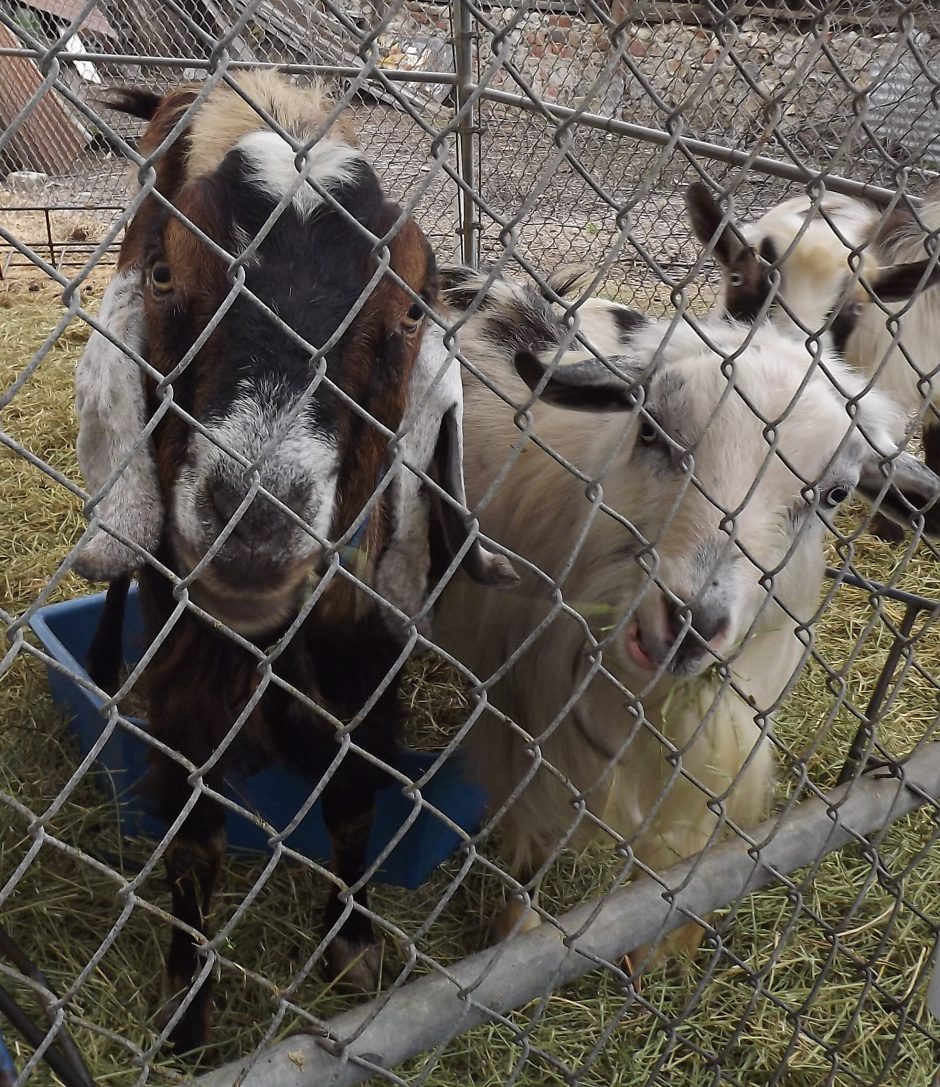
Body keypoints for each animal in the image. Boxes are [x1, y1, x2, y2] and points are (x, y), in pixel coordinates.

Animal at [72, 72, 516, 1053]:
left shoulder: (365, 652)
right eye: (165, 276)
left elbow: (352, 799)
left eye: (409, 313)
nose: (256, 515)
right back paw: (101, 661)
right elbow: (195, 839)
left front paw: (353, 945)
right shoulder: (188, 672)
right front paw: (188, 1010)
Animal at [432, 264, 940, 959]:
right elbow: (540, 840)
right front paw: (518, 932)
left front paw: (654, 947)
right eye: (650, 431)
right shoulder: (533, 722)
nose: (688, 626)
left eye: (835, 494)